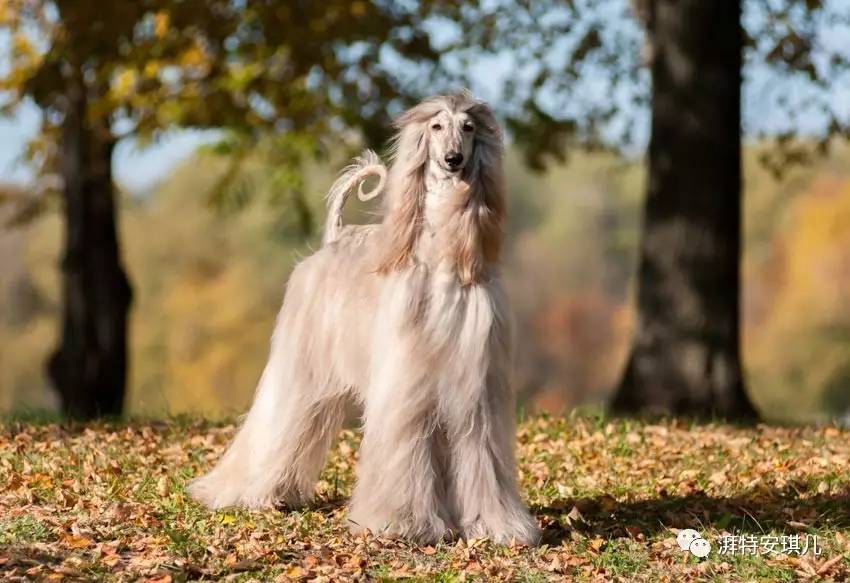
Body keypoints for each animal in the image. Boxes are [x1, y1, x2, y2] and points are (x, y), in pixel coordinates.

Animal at [190, 92, 540, 548]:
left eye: (468, 128)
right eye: (436, 127)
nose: (453, 160)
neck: (442, 257)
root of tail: (336, 237)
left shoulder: (474, 390)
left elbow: (479, 454)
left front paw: (494, 525)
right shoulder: (406, 382)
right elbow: (403, 446)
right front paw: (401, 522)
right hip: (301, 364)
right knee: (277, 419)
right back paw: (244, 492)